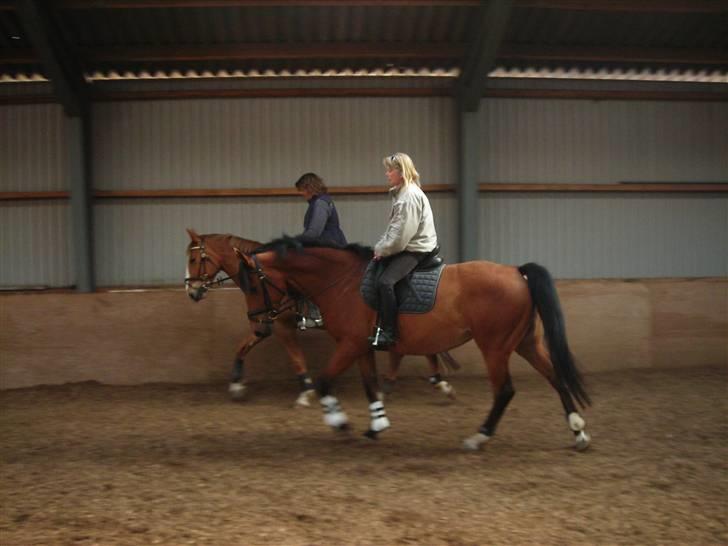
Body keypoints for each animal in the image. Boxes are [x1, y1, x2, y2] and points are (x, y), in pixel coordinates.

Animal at [183, 226, 456, 404]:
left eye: (194, 258)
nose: (192, 291)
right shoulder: (265, 322)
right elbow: (243, 346)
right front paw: (236, 385)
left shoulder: (281, 325)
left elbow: (295, 357)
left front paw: (306, 391)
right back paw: (431, 382)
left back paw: (435, 383)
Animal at [236, 236, 596, 448]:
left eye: (252, 285)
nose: (257, 324)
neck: (341, 281)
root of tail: (516, 271)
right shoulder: (361, 347)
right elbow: (370, 386)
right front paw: (376, 425)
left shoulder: (349, 344)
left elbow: (325, 381)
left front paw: (339, 422)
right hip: (525, 342)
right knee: (556, 376)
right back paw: (578, 431)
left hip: (494, 347)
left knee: (505, 390)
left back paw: (479, 437)